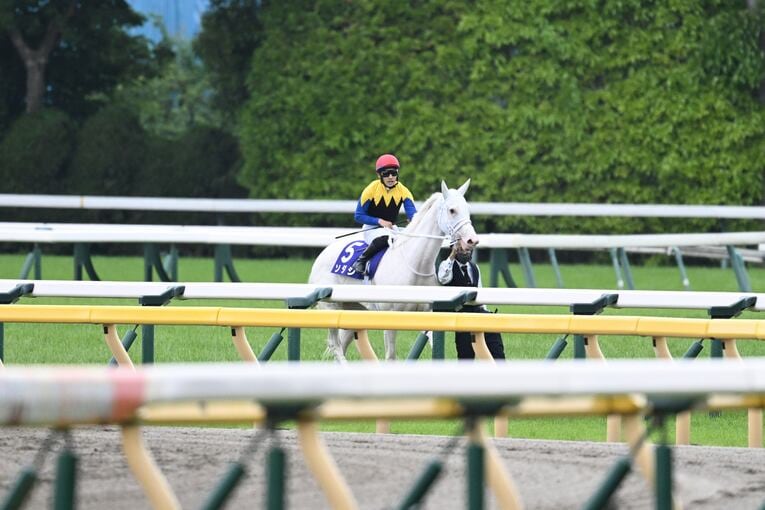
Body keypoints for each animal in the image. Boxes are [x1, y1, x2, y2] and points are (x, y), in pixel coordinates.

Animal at [308, 179, 479, 361]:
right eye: (452, 210)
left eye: (468, 209)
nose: (472, 240)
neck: (415, 264)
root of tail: (323, 254)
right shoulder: (389, 315)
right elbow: (391, 356)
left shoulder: (428, 314)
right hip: (330, 307)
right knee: (335, 345)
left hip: (354, 309)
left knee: (343, 342)